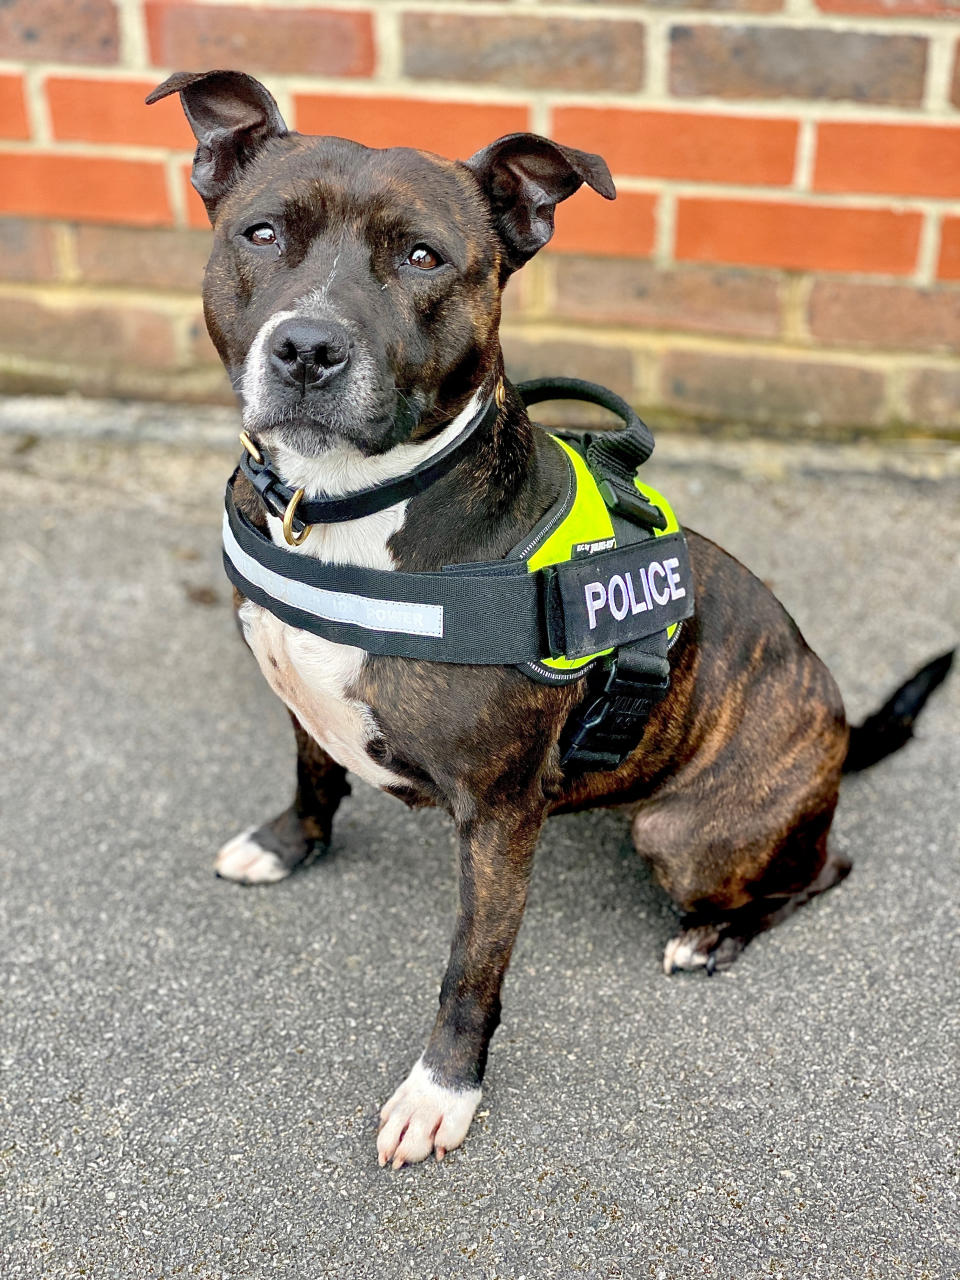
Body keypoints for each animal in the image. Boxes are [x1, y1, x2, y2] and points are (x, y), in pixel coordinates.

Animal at [148, 70, 957, 1172]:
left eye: (423, 256)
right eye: (263, 233)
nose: (308, 347)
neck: (348, 507)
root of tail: (835, 732)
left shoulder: (498, 815)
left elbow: (471, 968)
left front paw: (441, 1092)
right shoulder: (303, 695)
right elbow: (315, 775)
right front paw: (286, 844)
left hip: (684, 831)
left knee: (821, 866)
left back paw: (711, 936)